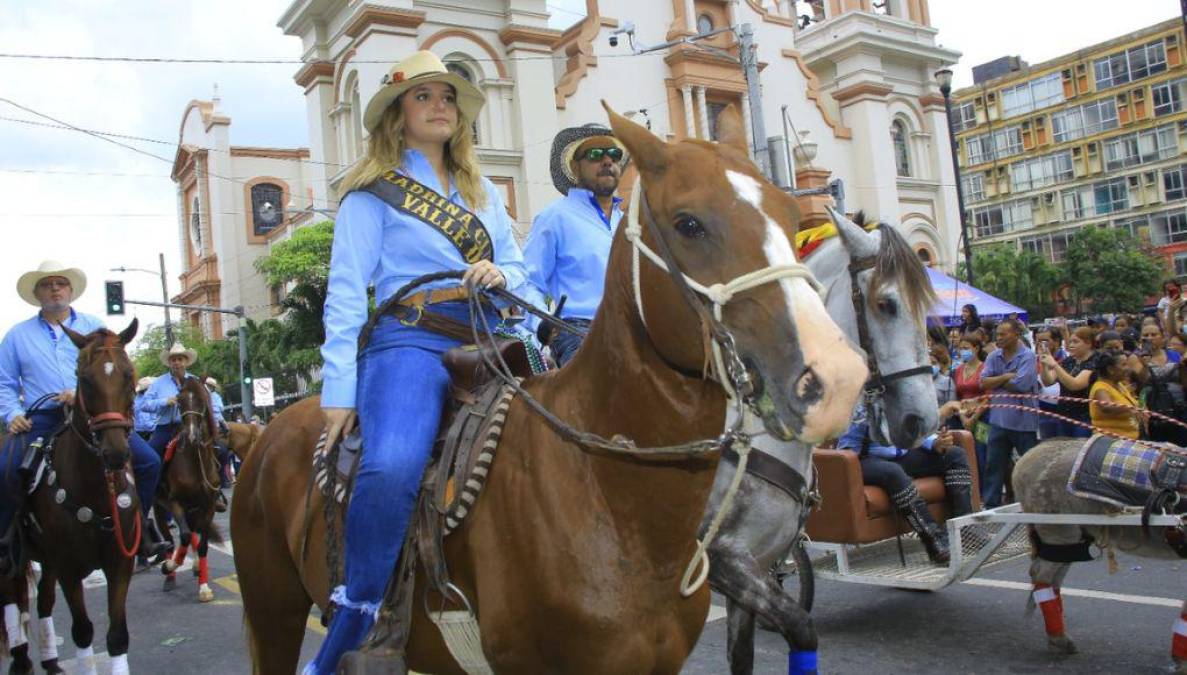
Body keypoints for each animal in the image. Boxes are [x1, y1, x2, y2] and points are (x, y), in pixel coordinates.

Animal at [0, 320, 142, 673]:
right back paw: (21, 658)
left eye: (128, 374)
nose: (115, 453)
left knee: (42, 602)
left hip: (44, 559)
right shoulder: (68, 567)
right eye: (84, 378)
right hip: (13, 554)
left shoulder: (120, 562)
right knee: (11, 598)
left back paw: (50, 659)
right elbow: (82, 631)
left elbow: (117, 635)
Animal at [156, 377, 221, 602]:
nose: (192, 436)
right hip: (161, 507)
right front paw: (169, 566)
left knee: (192, 532)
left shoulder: (208, 506)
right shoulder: (176, 502)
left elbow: (202, 545)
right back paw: (169, 576)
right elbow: (183, 536)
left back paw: (195, 567)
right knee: (169, 539)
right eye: (180, 400)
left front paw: (204, 587)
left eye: (202, 400)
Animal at [231, 102, 864, 669]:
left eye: (791, 218)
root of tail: (267, 433)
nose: (835, 378)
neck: (609, 495)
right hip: (273, 613)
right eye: (689, 223)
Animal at [702, 206, 935, 673]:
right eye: (886, 304)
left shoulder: (755, 565)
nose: (923, 418)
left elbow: (744, 657)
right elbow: (802, 627)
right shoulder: (723, 560)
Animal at [1011, 436, 1187, 669]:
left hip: (1068, 540)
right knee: (1042, 575)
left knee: (1053, 578)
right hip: (1058, 530)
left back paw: (1058, 637)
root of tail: (1028, 456)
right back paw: (1058, 638)